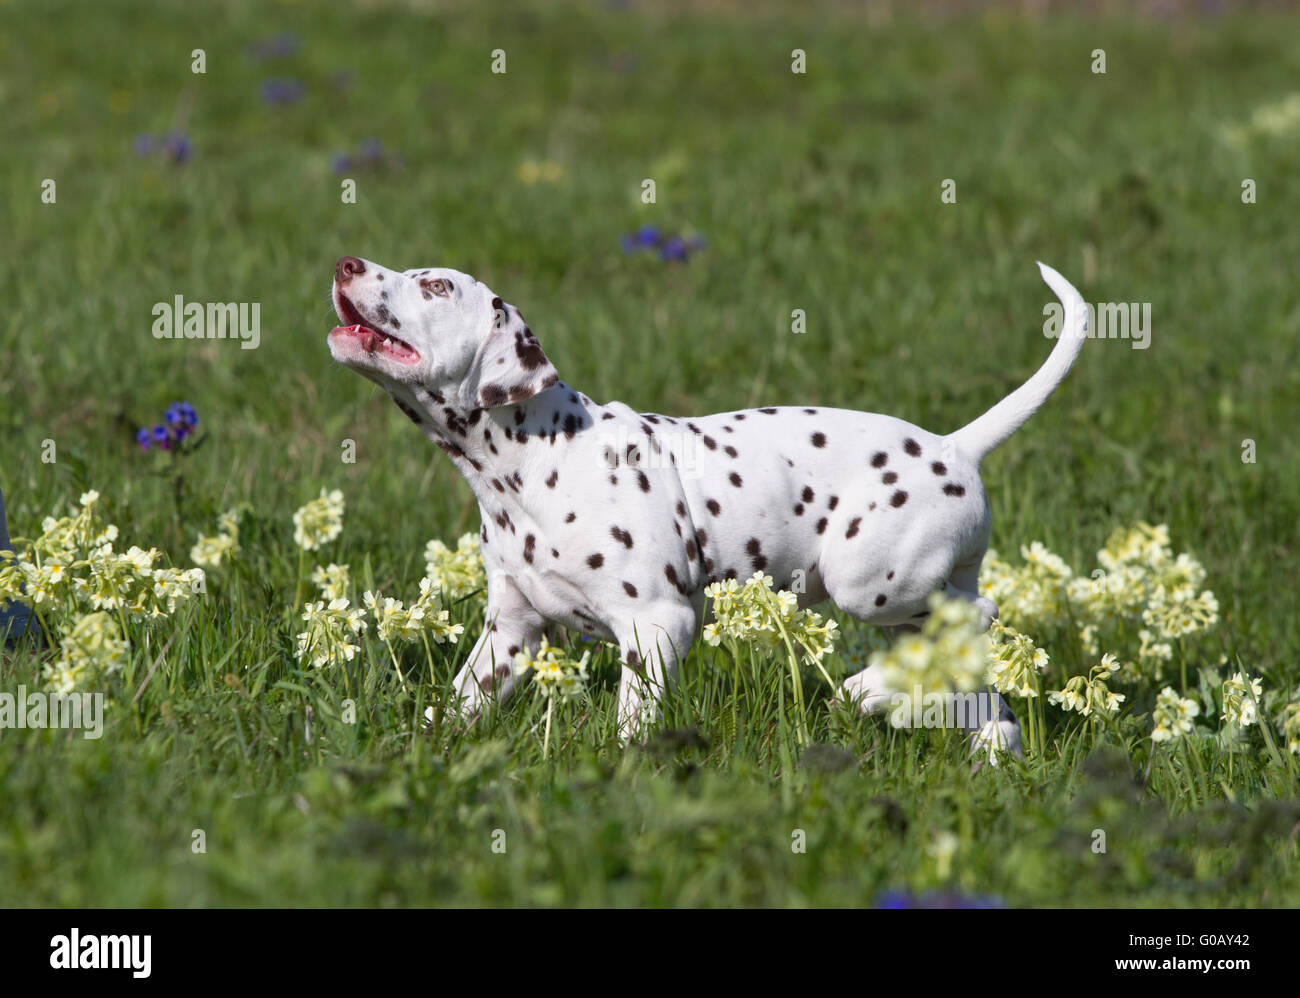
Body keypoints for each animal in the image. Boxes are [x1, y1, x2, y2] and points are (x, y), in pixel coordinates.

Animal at [325, 257, 1086, 758]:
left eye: (435, 285)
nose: (347, 262)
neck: (541, 460)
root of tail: (957, 446)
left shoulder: (657, 625)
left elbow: (634, 719)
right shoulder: (511, 633)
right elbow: (455, 704)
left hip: (871, 582)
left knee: (980, 618)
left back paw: (865, 690)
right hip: (909, 606)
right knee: (972, 673)